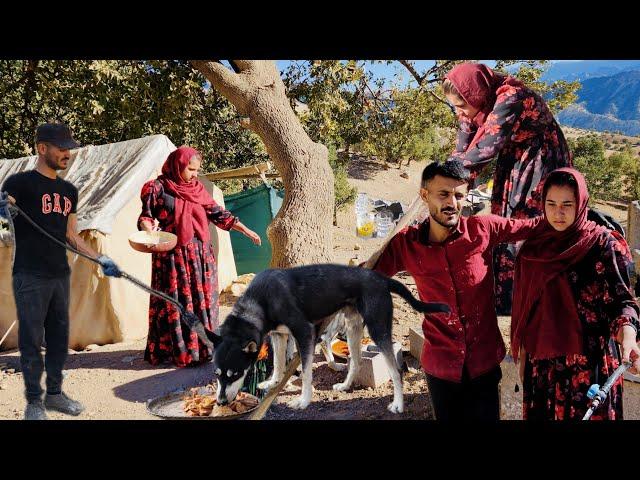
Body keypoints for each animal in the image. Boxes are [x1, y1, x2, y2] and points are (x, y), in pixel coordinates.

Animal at [208, 262, 448, 412]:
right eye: (217, 374)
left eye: (235, 373)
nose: (220, 402)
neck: (259, 301)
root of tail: (380, 278)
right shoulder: (278, 334)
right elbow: (278, 363)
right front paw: (273, 381)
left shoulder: (304, 333)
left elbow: (306, 374)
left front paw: (303, 401)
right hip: (352, 328)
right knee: (356, 361)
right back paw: (345, 385)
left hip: (377, 329)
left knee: (396, 372)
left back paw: (398, 405)